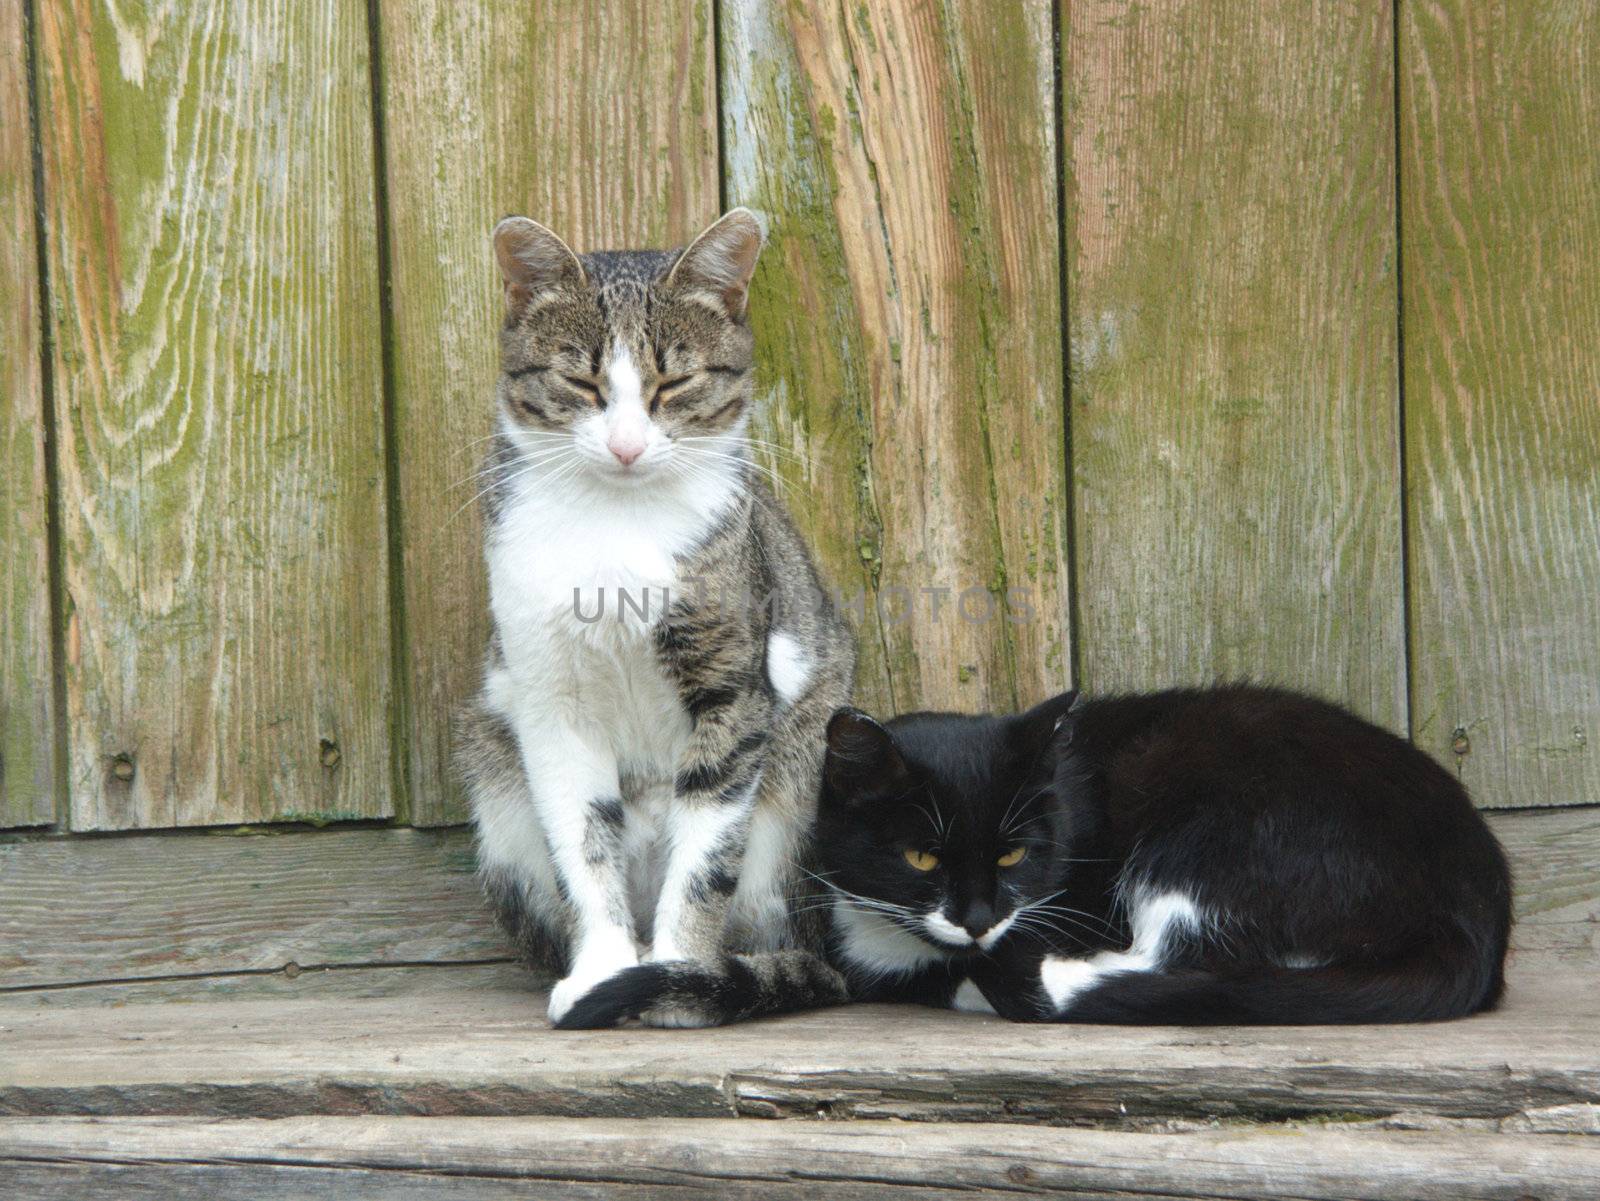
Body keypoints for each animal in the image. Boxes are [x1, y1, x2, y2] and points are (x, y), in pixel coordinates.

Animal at [457, 209, 857, 1023]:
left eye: (674, 380)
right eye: (580, 380)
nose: (626, 445)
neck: (616, 526)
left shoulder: (735, 688)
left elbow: (706, 853)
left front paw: (679, 974)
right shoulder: (551, 703)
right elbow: (582, 840)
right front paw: (605, 971)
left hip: (808, 768)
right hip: (494, 773)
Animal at [819, 684, 1504, 1023]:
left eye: (1013, 857)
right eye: (922, 860)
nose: (979, 920)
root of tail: (1472, 919)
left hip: (1219, 838)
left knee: (1183, 962)